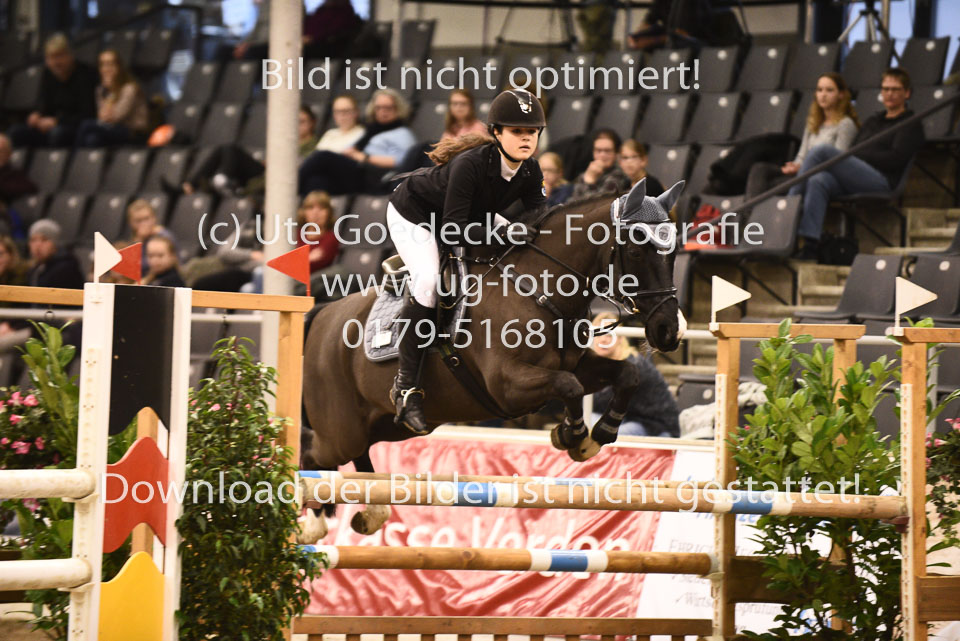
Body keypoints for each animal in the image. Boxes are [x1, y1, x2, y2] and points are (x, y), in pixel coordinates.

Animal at [299, 178, 685, 540]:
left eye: (673, 253)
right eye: (636, 251)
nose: (669, 330)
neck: (538, 289)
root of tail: (322, 316)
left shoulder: (578, 365)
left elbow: (627, 374)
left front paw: (598, 433)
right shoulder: (507, 384)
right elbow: (569, 386)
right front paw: (573, 434)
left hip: (385, 426)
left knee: (357, 457)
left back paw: (372, 512)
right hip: (341, 432)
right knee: (313, 456)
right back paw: (314, 521)